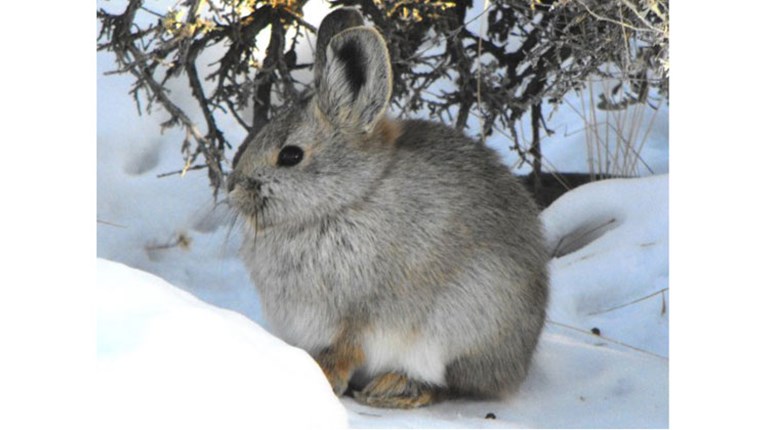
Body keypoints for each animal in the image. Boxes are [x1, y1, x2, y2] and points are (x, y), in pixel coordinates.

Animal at [227, 8, 549, 409]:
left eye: (290, 156)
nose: (233, 187)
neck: (347, 200)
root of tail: (520, 362)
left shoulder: (361, 316)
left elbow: (346, 349)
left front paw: (322, 377)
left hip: (462, 323)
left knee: (447, 384)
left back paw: (391, 389)